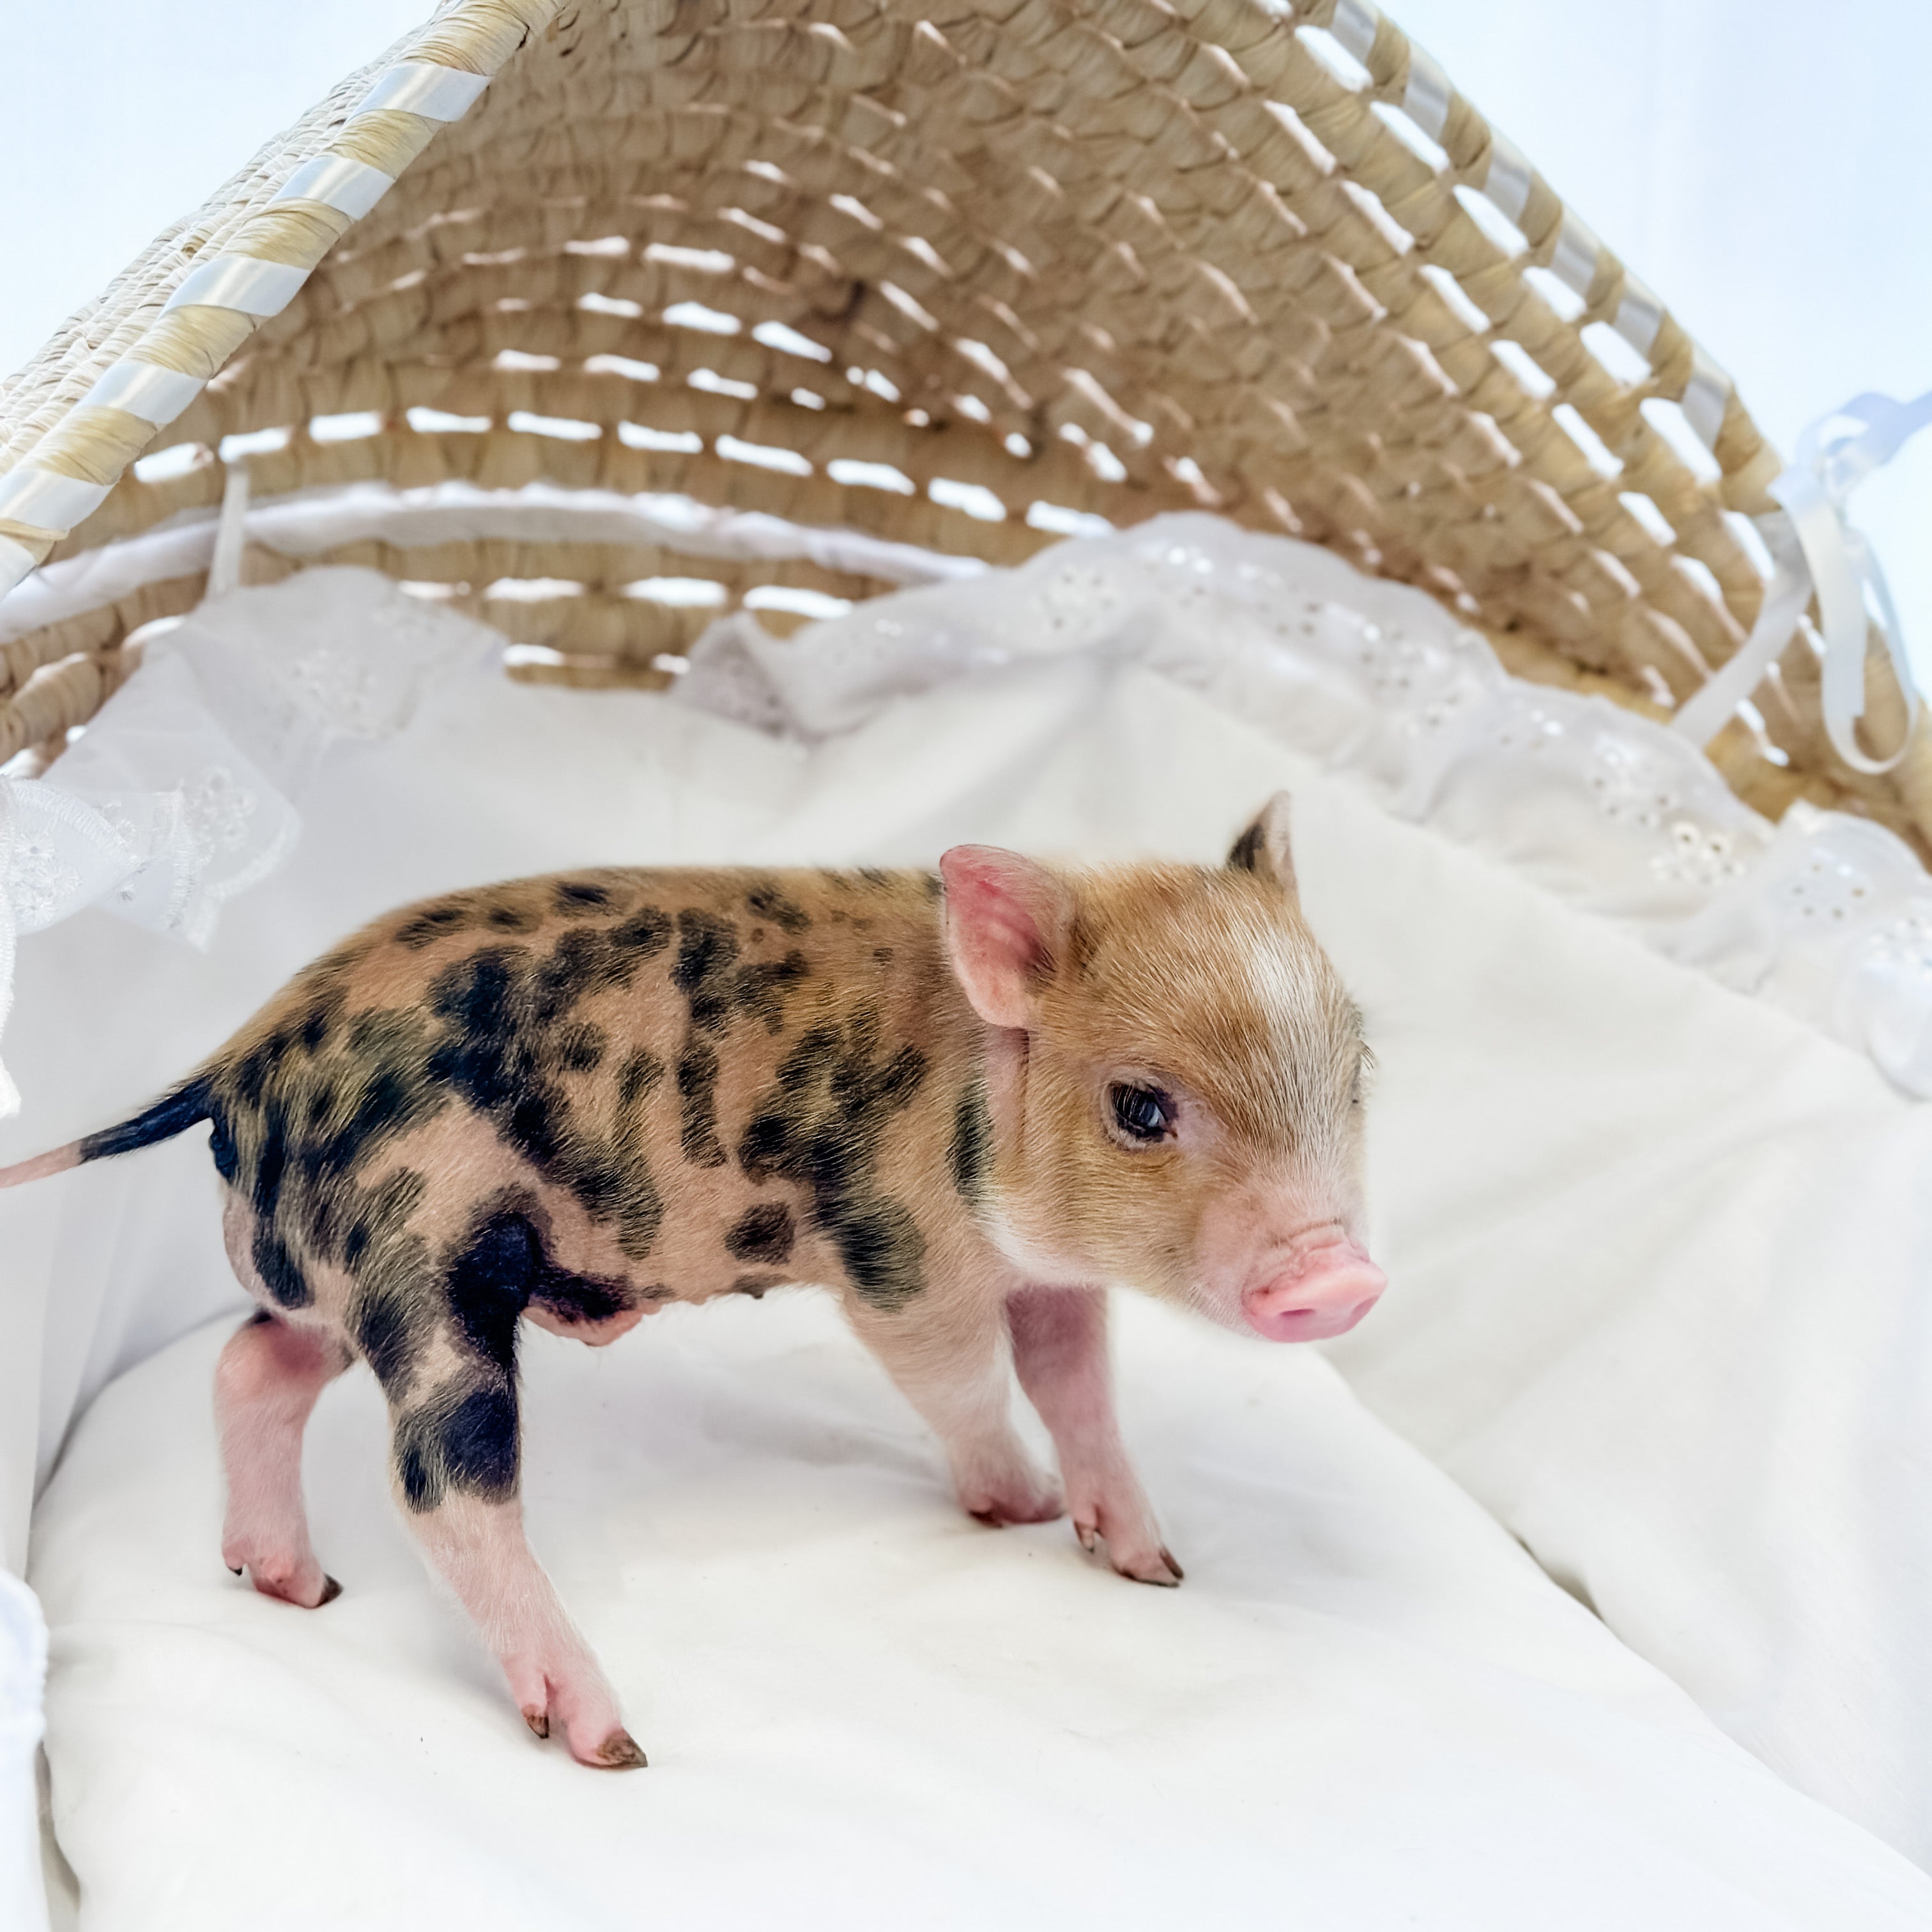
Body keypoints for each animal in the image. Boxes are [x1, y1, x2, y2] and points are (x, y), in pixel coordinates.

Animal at [0, 793, 1381, 1769]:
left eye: (1361, 1066)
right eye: (1140, 1107)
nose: (1341, 1281)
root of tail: (234, 1061)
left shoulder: (1045, 1271)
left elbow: (1077, 1383)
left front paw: (1149, 1563)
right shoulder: (896, 1260)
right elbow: (963, 1386)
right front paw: (1018, 1507)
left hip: (331, 1280)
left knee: (251, 1363)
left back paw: (295, 1586)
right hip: (426, 1270)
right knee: (440, 1483)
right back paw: (609, 1738)